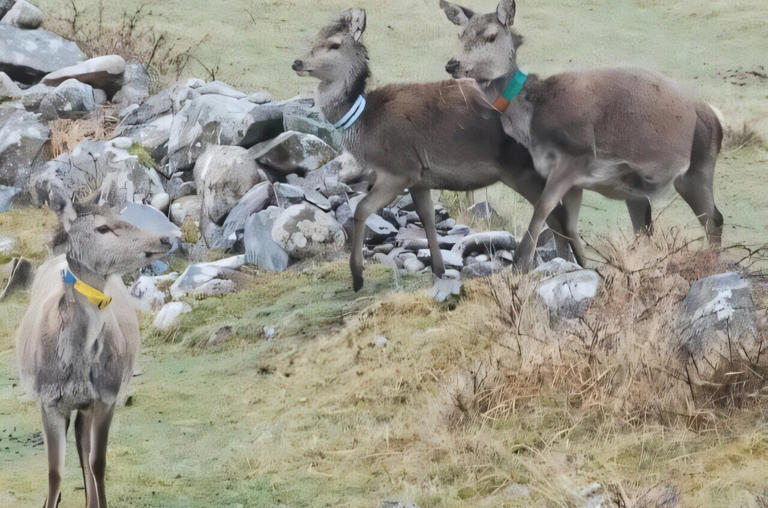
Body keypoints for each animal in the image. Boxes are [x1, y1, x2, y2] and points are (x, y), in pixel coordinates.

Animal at [15, 191, 173, 508]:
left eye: (120, 215)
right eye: (103, 228)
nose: (164, 239)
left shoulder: (107, 396)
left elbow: (97, 463)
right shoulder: (47, 400)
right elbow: (54, 472)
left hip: (88, 404)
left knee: (83, 449)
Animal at [292, 8, 583, 291]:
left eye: (334, 44)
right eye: (315, 37)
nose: (297, 63)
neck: (364, 125)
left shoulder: (399, 169)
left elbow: (361, 208)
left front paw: (357, 276)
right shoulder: (421, 178)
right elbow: (427, 218)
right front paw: (439, 269)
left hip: (519, 170)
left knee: (555, 214)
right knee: (558, 214)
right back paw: (567, 263)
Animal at [441, 0, 724, 271]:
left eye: (490, 36)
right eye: (461, 34)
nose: (452, 64)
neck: (533, 123)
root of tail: (713, 118)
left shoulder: (575, 159)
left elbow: (543, 209)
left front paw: (521, 264)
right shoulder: (573, 180)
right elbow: (567, 225)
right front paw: (576, 263)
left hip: (695, 170)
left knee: (714, 219)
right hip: (638, 189)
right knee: (646, 228)